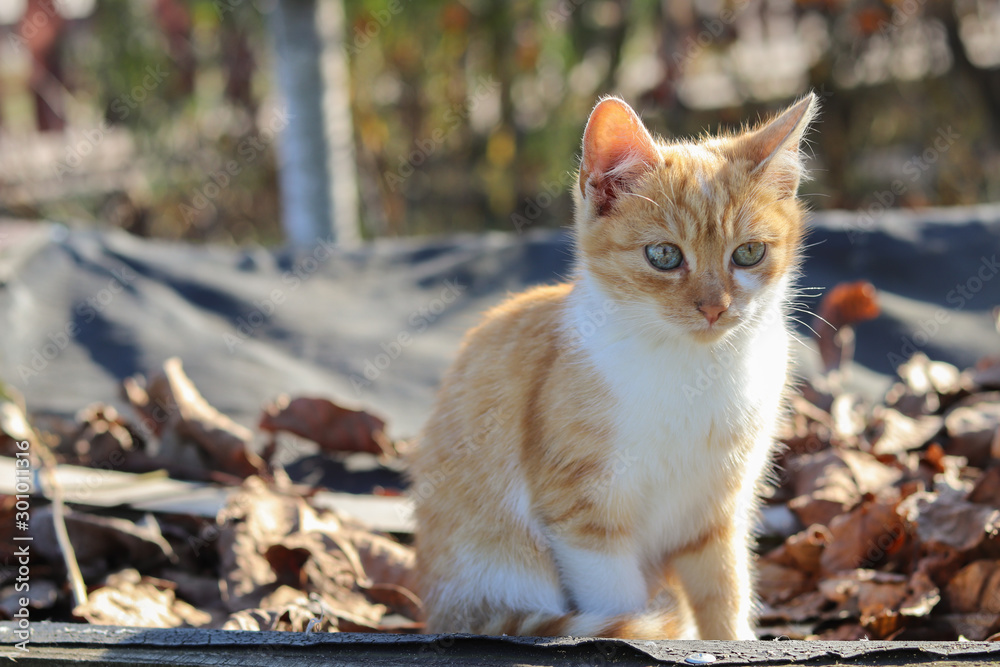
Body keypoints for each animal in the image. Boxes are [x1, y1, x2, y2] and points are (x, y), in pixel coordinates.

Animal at [410, 91, 816, 640]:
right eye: (664, 255)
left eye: (749, 253)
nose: (715, 307)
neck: (693, 369)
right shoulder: (579, 511)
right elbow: (619, 601)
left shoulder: (719, 508)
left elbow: (724, 592)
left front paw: (734, 641)